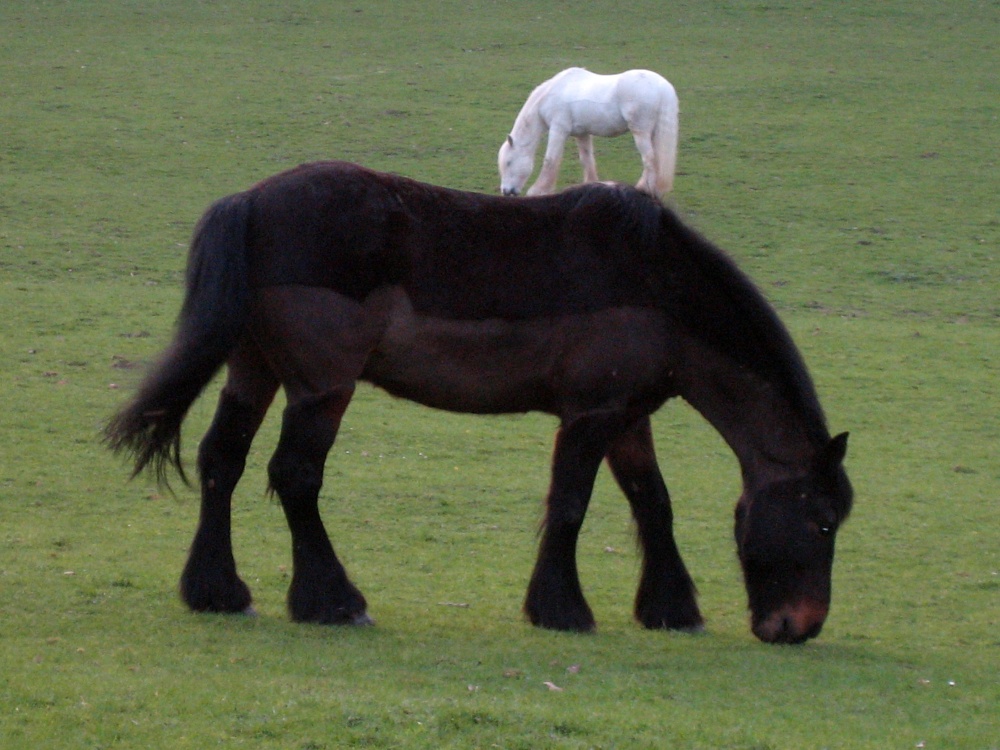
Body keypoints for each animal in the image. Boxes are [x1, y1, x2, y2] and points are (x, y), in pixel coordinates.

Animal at [107, 163, 852, 648]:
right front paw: (561, 608)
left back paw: (217, 591)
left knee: (221, 463)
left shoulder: (627, 415)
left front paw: (670, 608)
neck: (654, 283)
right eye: (821, 522)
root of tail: (252, 203)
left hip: (253, 372)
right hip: (323, 389)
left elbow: (652, 503)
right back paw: (334, 602)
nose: (801, 626)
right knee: (295, 477)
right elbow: (572, 505)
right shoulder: (590, 415)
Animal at [496, 68, 676, 198]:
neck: (550, 95)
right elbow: (587, 160)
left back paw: (645, 190)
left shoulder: (558, 130)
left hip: (641, 133)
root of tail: (662, 86)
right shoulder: (582, 134)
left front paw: (538, 191)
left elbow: (550, 160)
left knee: (649, 160)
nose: (506, 191)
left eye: (508, 163)